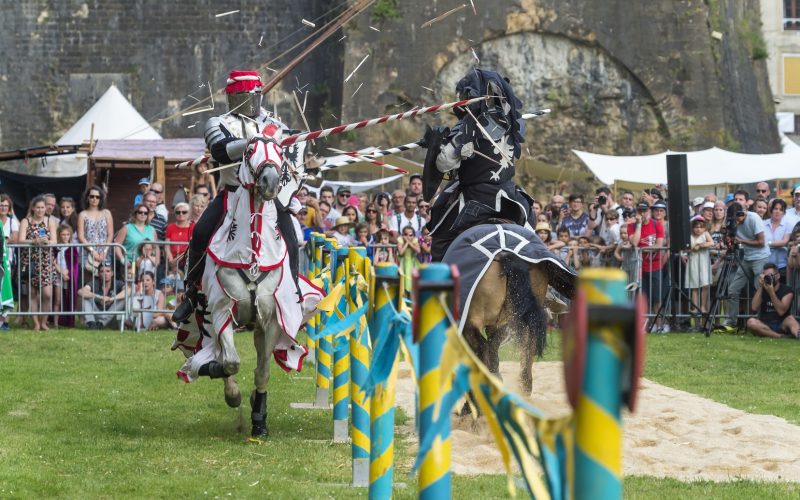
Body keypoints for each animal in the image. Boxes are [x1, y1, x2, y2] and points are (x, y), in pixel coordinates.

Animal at [177, 130, 324, 438]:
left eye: (280, 152)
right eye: (249, 151)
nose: (269, 182)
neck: (252, 256)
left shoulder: (272, 321)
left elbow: (262, 371)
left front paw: (259, 419)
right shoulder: (222, 312)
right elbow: (230, 363)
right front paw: (231, 392)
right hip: (206, 316)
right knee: (216, 351)